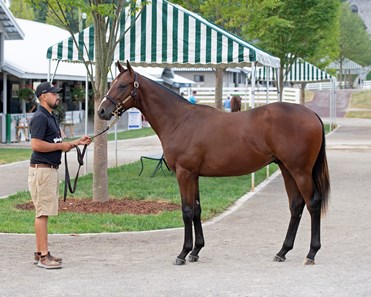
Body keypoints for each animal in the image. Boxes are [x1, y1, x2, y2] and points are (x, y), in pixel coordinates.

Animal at [97, 61, 330, 264]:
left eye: (123, 85)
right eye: (112, 83)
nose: (101, 111)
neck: (179, 120)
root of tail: (312, 114)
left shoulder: (184, 173)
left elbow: (187, 211)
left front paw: (183, 253)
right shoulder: (194, 175)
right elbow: (197, 210)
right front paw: (196, 251)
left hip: (300, 171)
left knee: (312, 203)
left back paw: (311, 253)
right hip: (286, 168)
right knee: (296, 205)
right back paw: (282, 252)